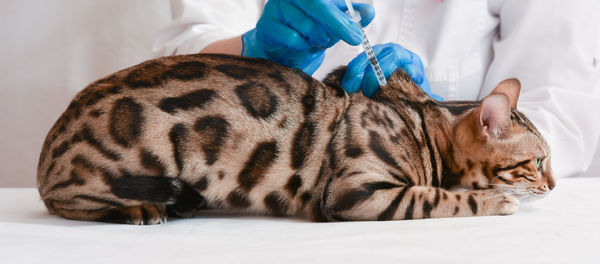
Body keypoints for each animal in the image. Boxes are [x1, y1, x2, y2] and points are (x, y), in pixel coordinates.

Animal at [36, 53, 552, 225]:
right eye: (538, 163)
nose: (552, 187)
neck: (422, 120)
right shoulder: (354, 191)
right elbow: (438, 197)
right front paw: (494, 201)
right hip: (127, 163)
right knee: (64, 201)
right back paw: (140, 209)